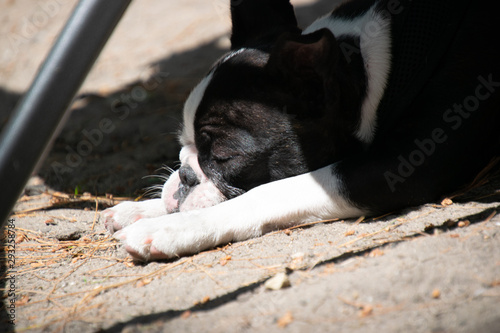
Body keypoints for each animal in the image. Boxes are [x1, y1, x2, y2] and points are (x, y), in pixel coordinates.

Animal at [102, 0, 500, 260]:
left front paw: (170, 230)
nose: (184, 175)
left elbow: (268, 193)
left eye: (224, 157)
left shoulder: (403, 165)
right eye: (182, 147)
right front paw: (143, 209)